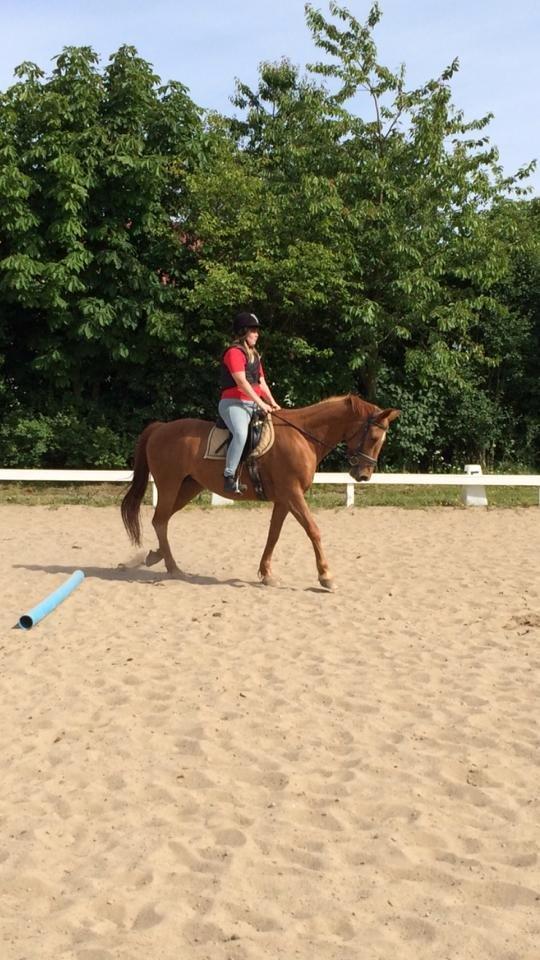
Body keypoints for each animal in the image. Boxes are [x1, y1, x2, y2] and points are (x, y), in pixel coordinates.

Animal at [123, 394, 400, 588]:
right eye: (374, 437)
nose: (363, 475)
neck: (303, 437)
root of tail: (160, 427)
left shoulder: (284, 499)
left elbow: (273, 535)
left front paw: (267, 574)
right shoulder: (293, 494)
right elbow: (313, 530)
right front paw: (326, 576)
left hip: (188, 487)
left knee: (162, 520)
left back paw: (156, 557)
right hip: (170, 485)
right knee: (160, 520)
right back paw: (172, 567)